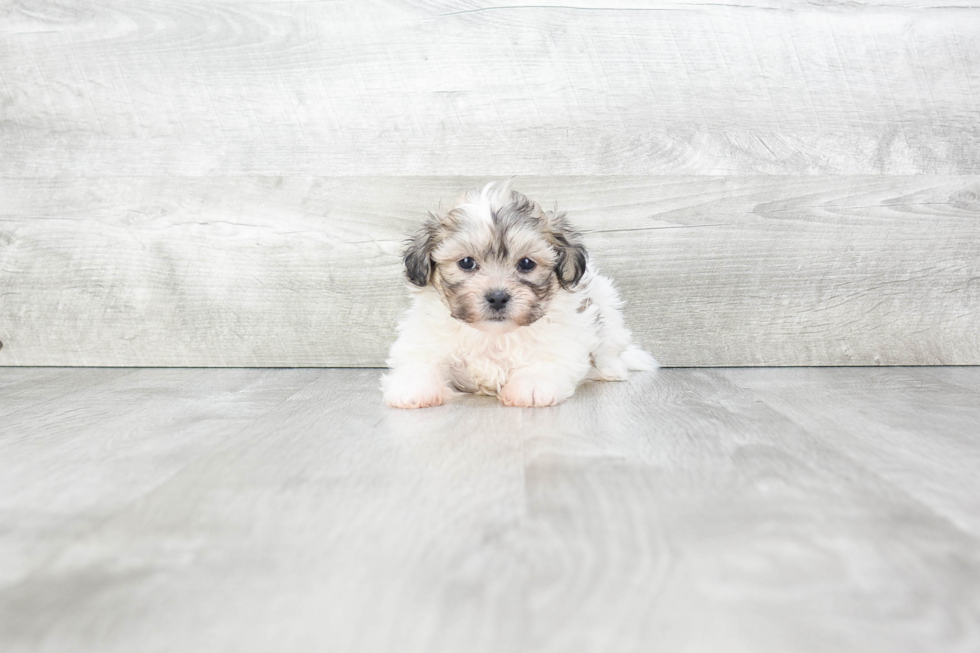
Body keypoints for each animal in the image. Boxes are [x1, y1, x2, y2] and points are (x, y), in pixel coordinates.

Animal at [382, 181, 660, 408]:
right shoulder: (425, 338)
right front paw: (413, 387)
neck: (493, 336)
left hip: (608, 307)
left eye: (526, 263)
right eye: (466, 263)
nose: (497, 297)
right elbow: (420, 359)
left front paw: (532, 386)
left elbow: (545, 359)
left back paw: (612, 370)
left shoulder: (562, 340)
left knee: (611, 348)